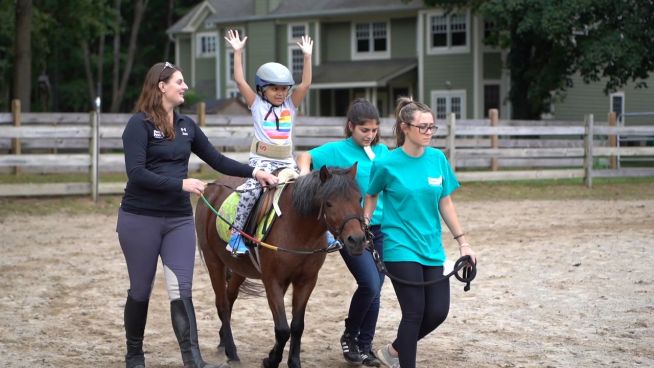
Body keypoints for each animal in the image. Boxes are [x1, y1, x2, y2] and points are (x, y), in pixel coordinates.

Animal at [195, 165, 368, 368]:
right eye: (329, 203)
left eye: (359, 198)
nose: (357, 240)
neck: (297, 229)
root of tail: (211, 187)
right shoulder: (273, 281)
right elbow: (283, 328)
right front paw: (271, 360)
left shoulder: (306, 281)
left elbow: (297, 326)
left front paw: (292, 361)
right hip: (213, 261)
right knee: (222, 304)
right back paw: (231, 350)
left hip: (239, 269)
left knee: (229, 298)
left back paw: (223, 340)